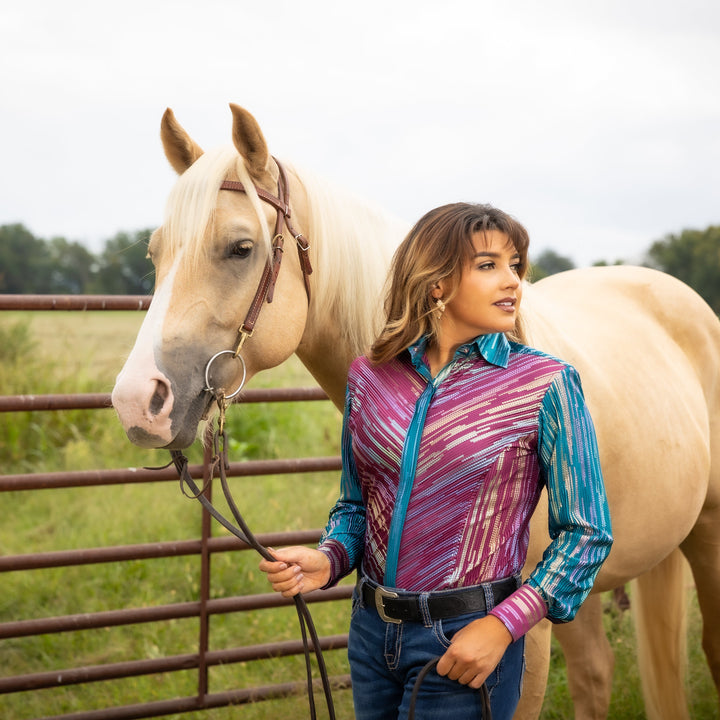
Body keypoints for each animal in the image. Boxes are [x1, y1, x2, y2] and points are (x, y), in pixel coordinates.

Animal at [112, 104, 720, 716]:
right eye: (156, 253)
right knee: (601, 671)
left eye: (240, 247)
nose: (137, 401)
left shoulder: (528, 633)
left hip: (704, 534)